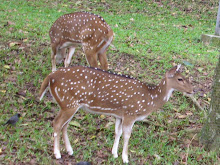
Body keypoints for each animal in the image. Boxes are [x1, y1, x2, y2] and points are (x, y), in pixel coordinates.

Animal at [39, 64, 192, 162]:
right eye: (180, 79)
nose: (192, 90)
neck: (150, 100)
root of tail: (50, 77)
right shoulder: (130, 113)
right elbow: (127, 135)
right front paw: (125, 158)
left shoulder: (119, 114)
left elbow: (117, 132)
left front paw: (114, 153)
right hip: (68, 103)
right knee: (56, 123)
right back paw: (57, 154)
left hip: (70, 105)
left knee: (64, 125)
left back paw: (70, 151)